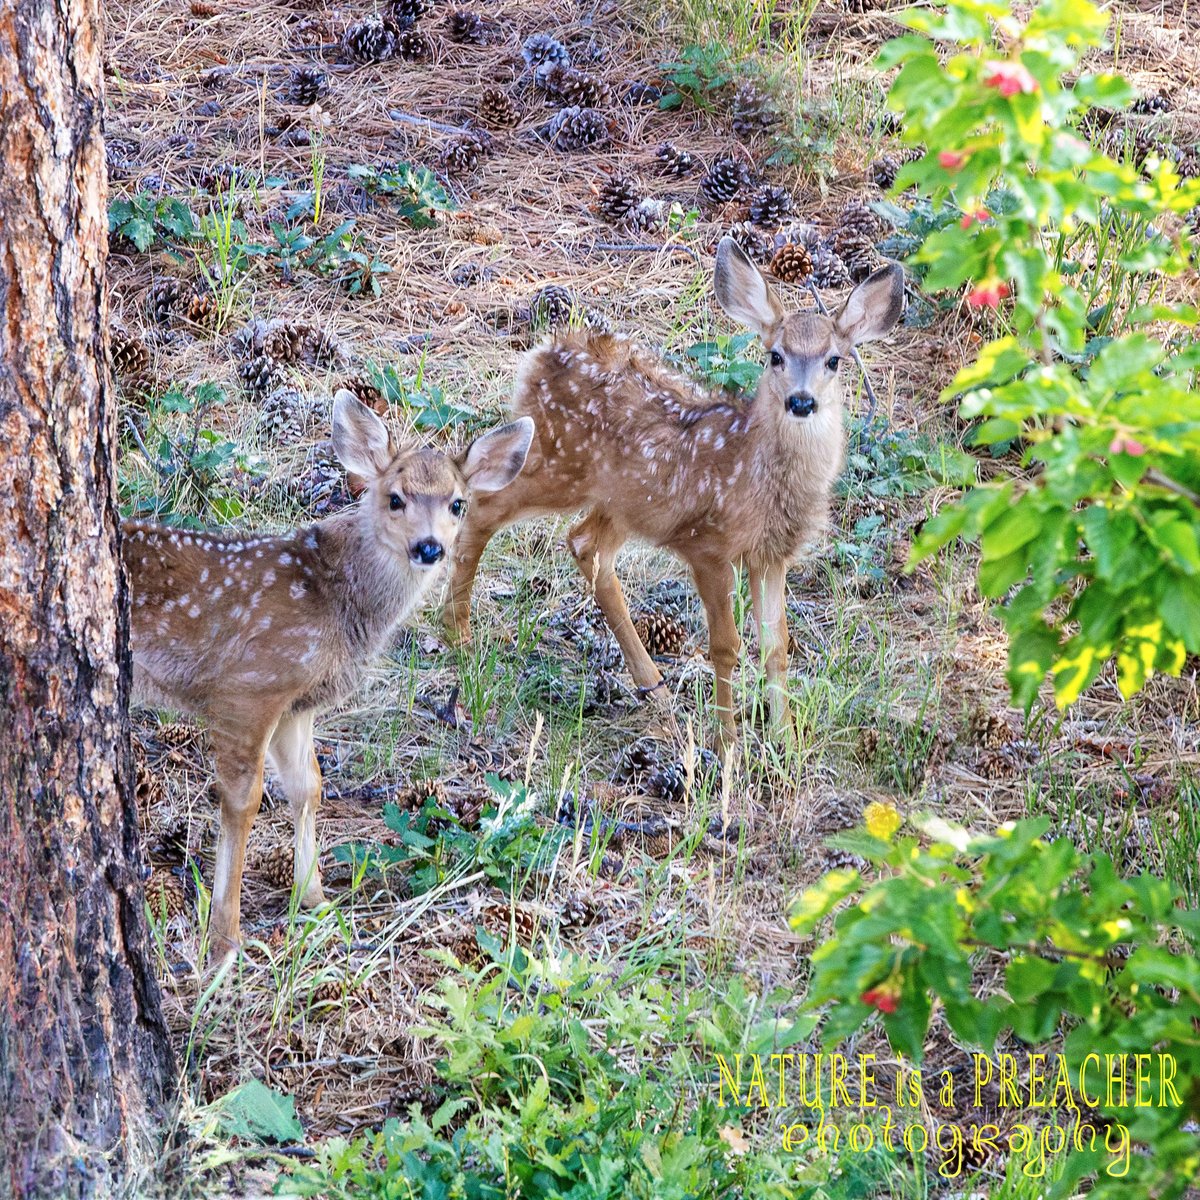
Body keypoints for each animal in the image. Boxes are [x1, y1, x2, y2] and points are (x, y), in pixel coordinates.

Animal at [125, 392, 533, 955]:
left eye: (458, 504)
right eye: (395, 499)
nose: (429, 547)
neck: (336, 603)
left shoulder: (297, 706)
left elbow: (309, 787)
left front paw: (314, 898)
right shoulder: (247, 687)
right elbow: (244, 800)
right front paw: (226, 937)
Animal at [444, 237, 904, 745]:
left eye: (834, 360)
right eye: (776, 356)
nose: (801, 401)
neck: (756, 477)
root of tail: (542, 353)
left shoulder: (771, 554)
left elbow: (776, 646)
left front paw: (783, 739)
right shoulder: (709, 544)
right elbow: (726, 645)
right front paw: (727, 743)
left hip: (622, 502)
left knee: (585, 545)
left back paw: (654, 685)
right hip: (558, 463)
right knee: (483, 508)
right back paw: (458, 633)